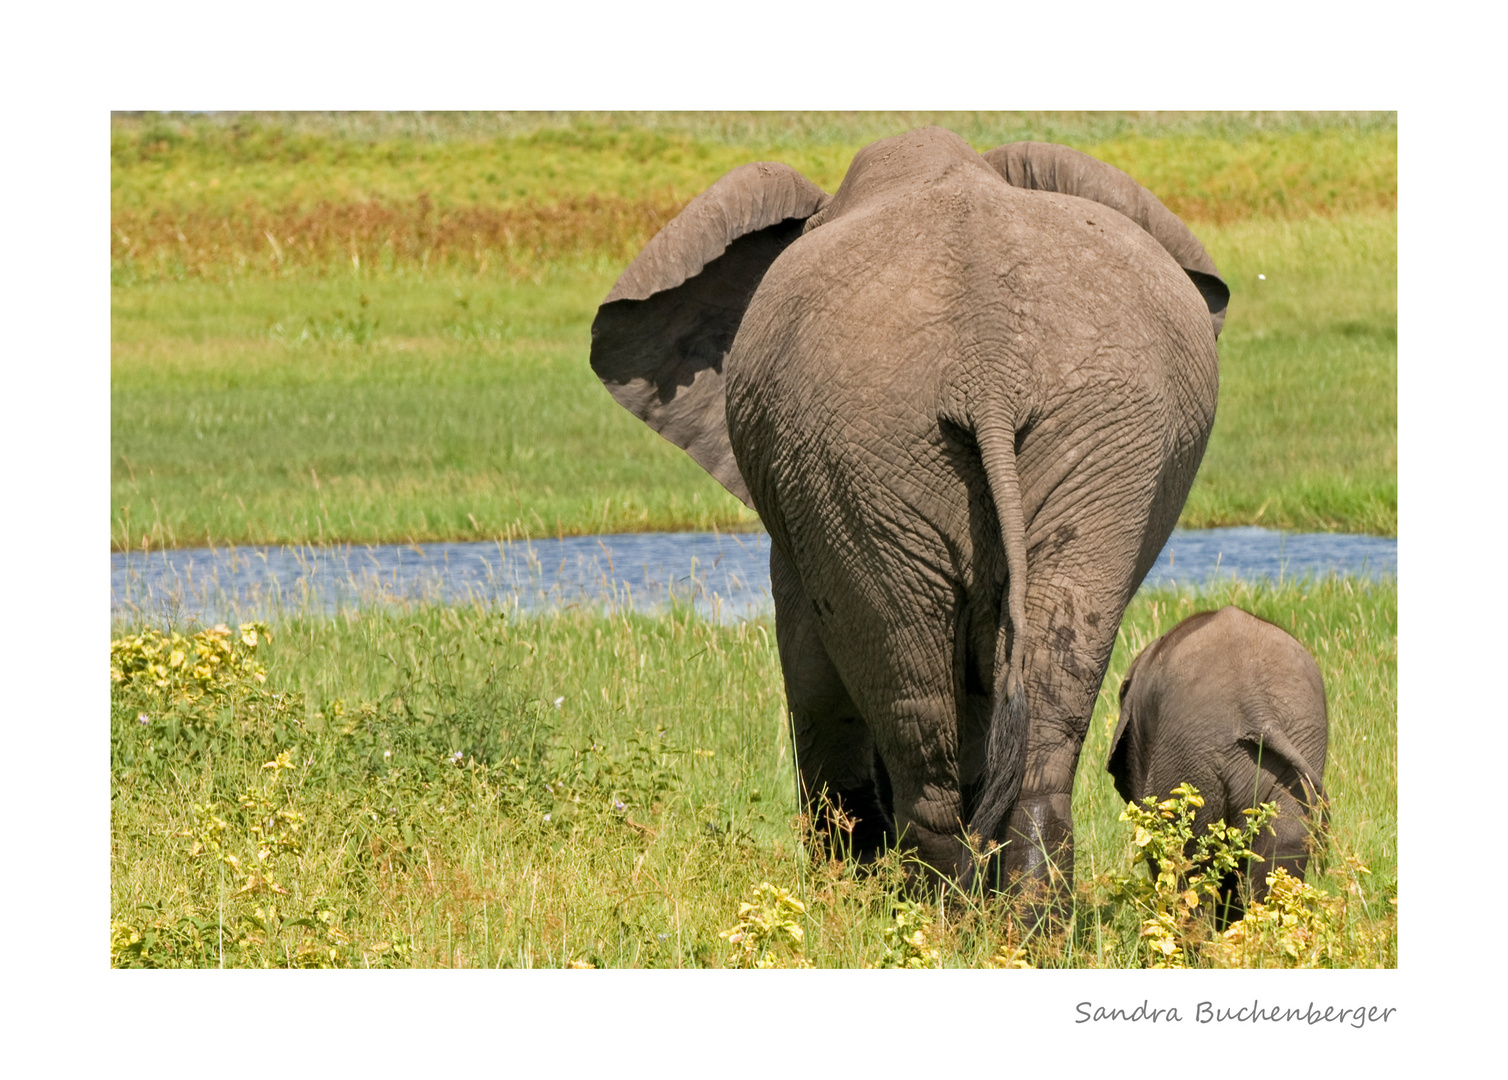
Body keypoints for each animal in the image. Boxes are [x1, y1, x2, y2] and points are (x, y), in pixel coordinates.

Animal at [585, 124, 1224, 892]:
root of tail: (988, 368)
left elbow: (807, 659)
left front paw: (844, 882)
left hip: (864, 457)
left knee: (909, 694)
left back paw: (929, 905)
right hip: (1082, 449)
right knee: (1039, 684)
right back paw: (1009, 913)